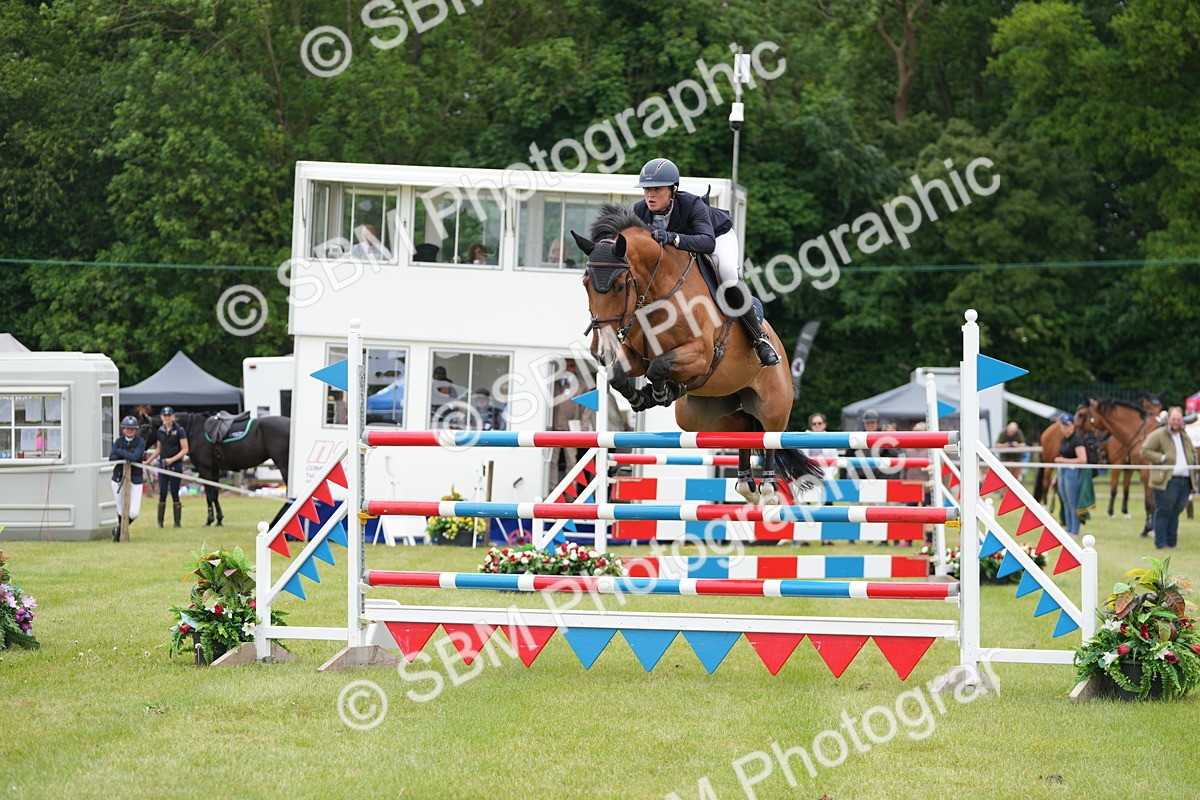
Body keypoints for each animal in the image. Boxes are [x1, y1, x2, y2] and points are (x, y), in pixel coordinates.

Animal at [150, 412, 291, 526]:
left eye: (145, 428)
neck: (195, 430)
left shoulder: (204, 469)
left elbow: (209, 495)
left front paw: (209, 520)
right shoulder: (214, 470)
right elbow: (215, 494)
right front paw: (219, 520)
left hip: (284, 466)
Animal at [572, 203, 822, 503]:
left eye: (620, 286)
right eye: (585, 283)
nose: (600, 348)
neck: (657, 293)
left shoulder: (700, 355)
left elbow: (658, 366)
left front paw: (659, 393)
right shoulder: (635, 356)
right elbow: (620, 376)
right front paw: (644, 397)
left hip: (773, 402)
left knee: (770, 434)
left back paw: (769, 488)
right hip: (700, 415)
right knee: (744, 426)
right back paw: (745, 483)